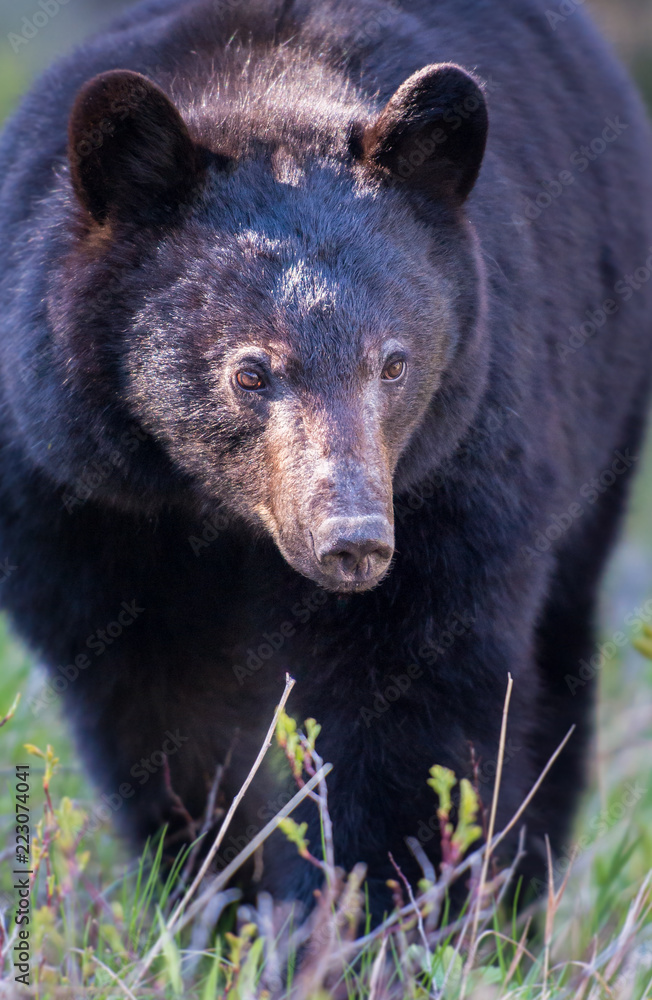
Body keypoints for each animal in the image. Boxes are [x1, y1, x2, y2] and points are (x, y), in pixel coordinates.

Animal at [0, 0, 651, 922]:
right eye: (250, 371)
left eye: (395, 363)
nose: (354, 538)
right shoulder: (75, 502)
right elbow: (162, 714)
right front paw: (218, 900)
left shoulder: (454, 470)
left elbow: (405, 702)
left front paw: (367, 914)